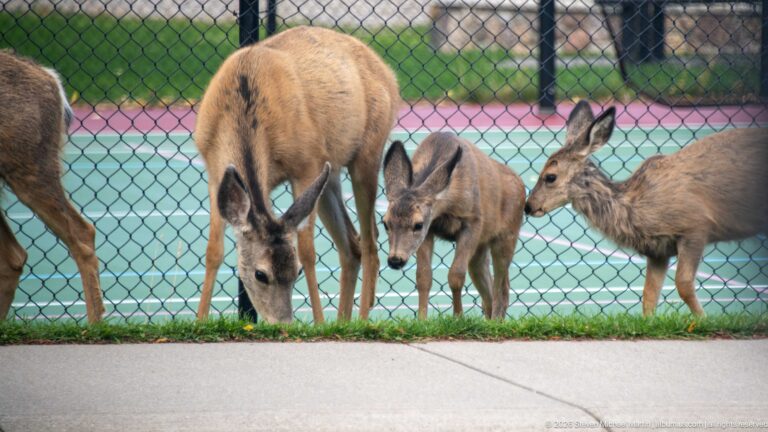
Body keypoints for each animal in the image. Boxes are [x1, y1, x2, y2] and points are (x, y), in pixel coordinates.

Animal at [194, 26, 400, 323]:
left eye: (297, 272)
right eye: (260, 274)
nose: (283, 322)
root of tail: (389, 75)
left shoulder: (306, 164)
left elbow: (307, 250)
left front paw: (319, 324)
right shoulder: (214, 173)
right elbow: (213, 251)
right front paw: (200, 320)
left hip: (367, 153)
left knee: (370, 242)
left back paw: (360, 321)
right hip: (329, 176)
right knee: (352, 245)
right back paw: (343, 322)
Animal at [382, 133, 526, 319]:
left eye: (418, 225)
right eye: (385, 223)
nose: (395, 260)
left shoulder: (473, 221)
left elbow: (456, 275)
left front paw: (458, 317)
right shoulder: (430, 230)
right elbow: (423, 277)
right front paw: (421, 319)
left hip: (508, 235)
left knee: (501, 286)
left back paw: (495, 320)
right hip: (481, 249)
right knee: (487, 287)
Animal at [525, 100, 768, 316]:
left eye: (550, 177)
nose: (529, 206)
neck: (636, 207)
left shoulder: (696, 226)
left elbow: (683, 284)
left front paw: (702, 320)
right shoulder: (658, 250)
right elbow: (649, 295)